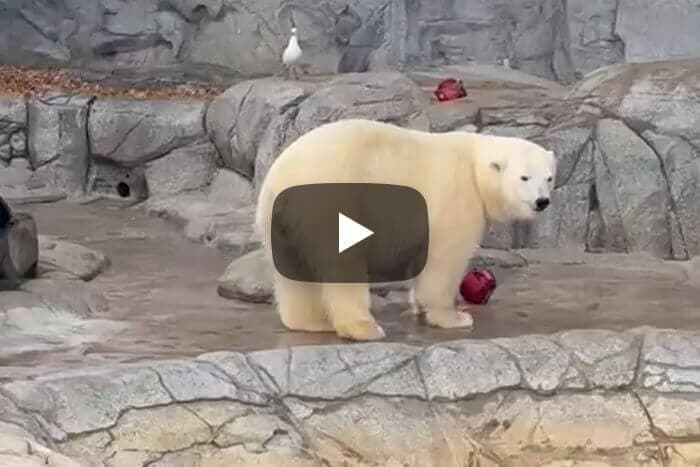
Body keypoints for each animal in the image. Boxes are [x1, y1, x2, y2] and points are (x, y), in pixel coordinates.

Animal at [255, 118, 556, 341]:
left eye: (549, 177)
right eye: (524, 177)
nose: (542, 201)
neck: (474, 167)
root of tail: (280, 180)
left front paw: (420, 308)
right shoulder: (456, 199)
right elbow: (444, 262)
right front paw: (454, 317)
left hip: (280, 223)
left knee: (293, 271)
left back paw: (310, 322)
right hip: (331, 202)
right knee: (343, 265)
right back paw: (364, 328)